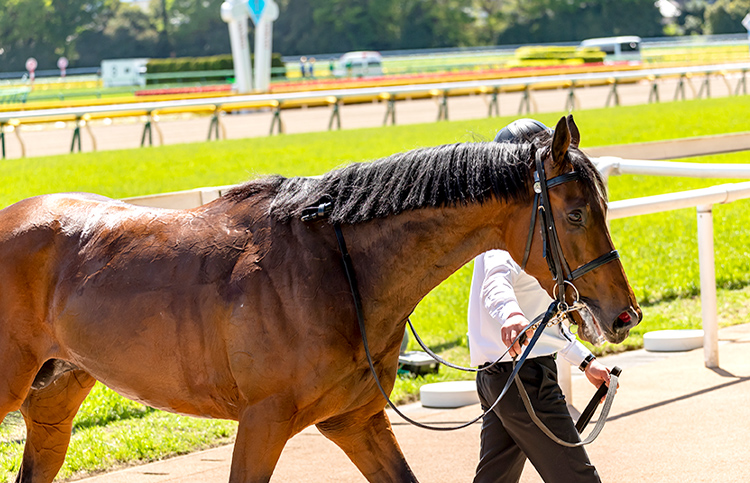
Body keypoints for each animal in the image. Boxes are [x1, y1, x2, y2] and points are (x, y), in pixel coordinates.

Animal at [1, 115, 648, 482]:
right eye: (575, 212)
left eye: (604, 204)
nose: (623, 313)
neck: (337, 272)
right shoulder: (261, 424)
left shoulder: (355, 420)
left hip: (55, 397)